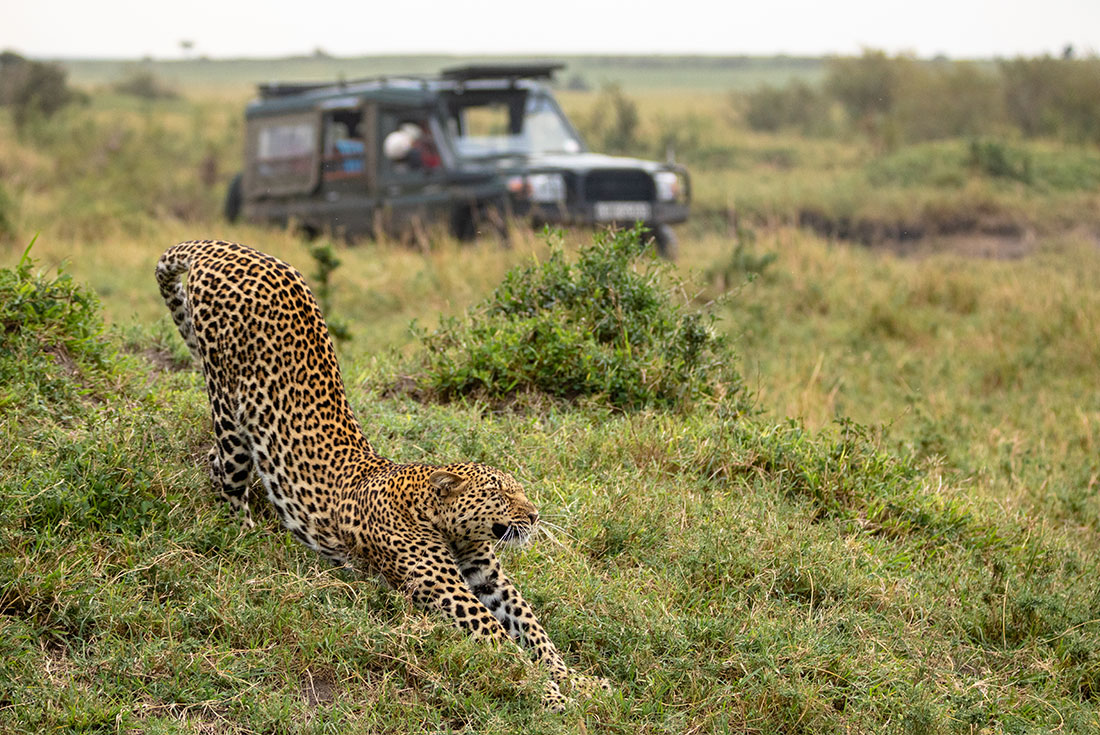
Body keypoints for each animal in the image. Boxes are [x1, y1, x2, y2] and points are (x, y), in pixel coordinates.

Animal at [155, 239, 608, 711]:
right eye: (500, 494)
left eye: (519, 491)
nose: (535, 516)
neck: (444, 523)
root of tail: (225, 246)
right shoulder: (445, 587)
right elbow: (500, 638)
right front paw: (548, 693)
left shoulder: (488, 576)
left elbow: (533, 629)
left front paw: (577, 680)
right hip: (230, 412)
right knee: (226, 478)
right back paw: (247, 539)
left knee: (214, 460)